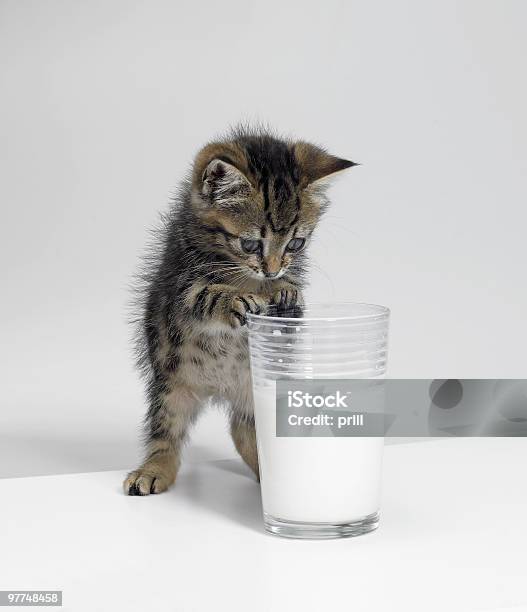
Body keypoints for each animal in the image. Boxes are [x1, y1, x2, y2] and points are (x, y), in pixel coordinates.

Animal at [124, 126, 354, 494]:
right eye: (249, 244)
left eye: (296, 243)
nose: (272, 270)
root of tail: (220, 389)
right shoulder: (179, 286)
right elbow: (204, 295)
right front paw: (236, 299)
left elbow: (290, 296)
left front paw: (287, 292)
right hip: (171, 384)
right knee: (166, 433)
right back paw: (153, 470)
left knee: (244, 429)